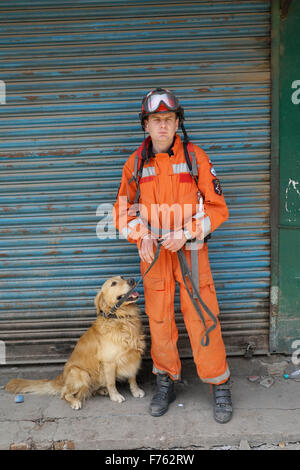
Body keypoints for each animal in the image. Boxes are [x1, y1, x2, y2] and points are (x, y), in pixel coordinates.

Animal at [4, 278, 145, 410]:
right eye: (113, 283)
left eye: (122, 277)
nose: (132, 280)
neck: (120, 318)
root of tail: (62, 378)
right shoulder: (109, 362)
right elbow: (111, 382)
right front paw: (115, 396)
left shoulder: (133, 356)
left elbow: (132, 378)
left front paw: (136, 391)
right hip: (81, 373)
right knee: (65, 394)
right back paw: (75, 402)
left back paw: (101, 390)